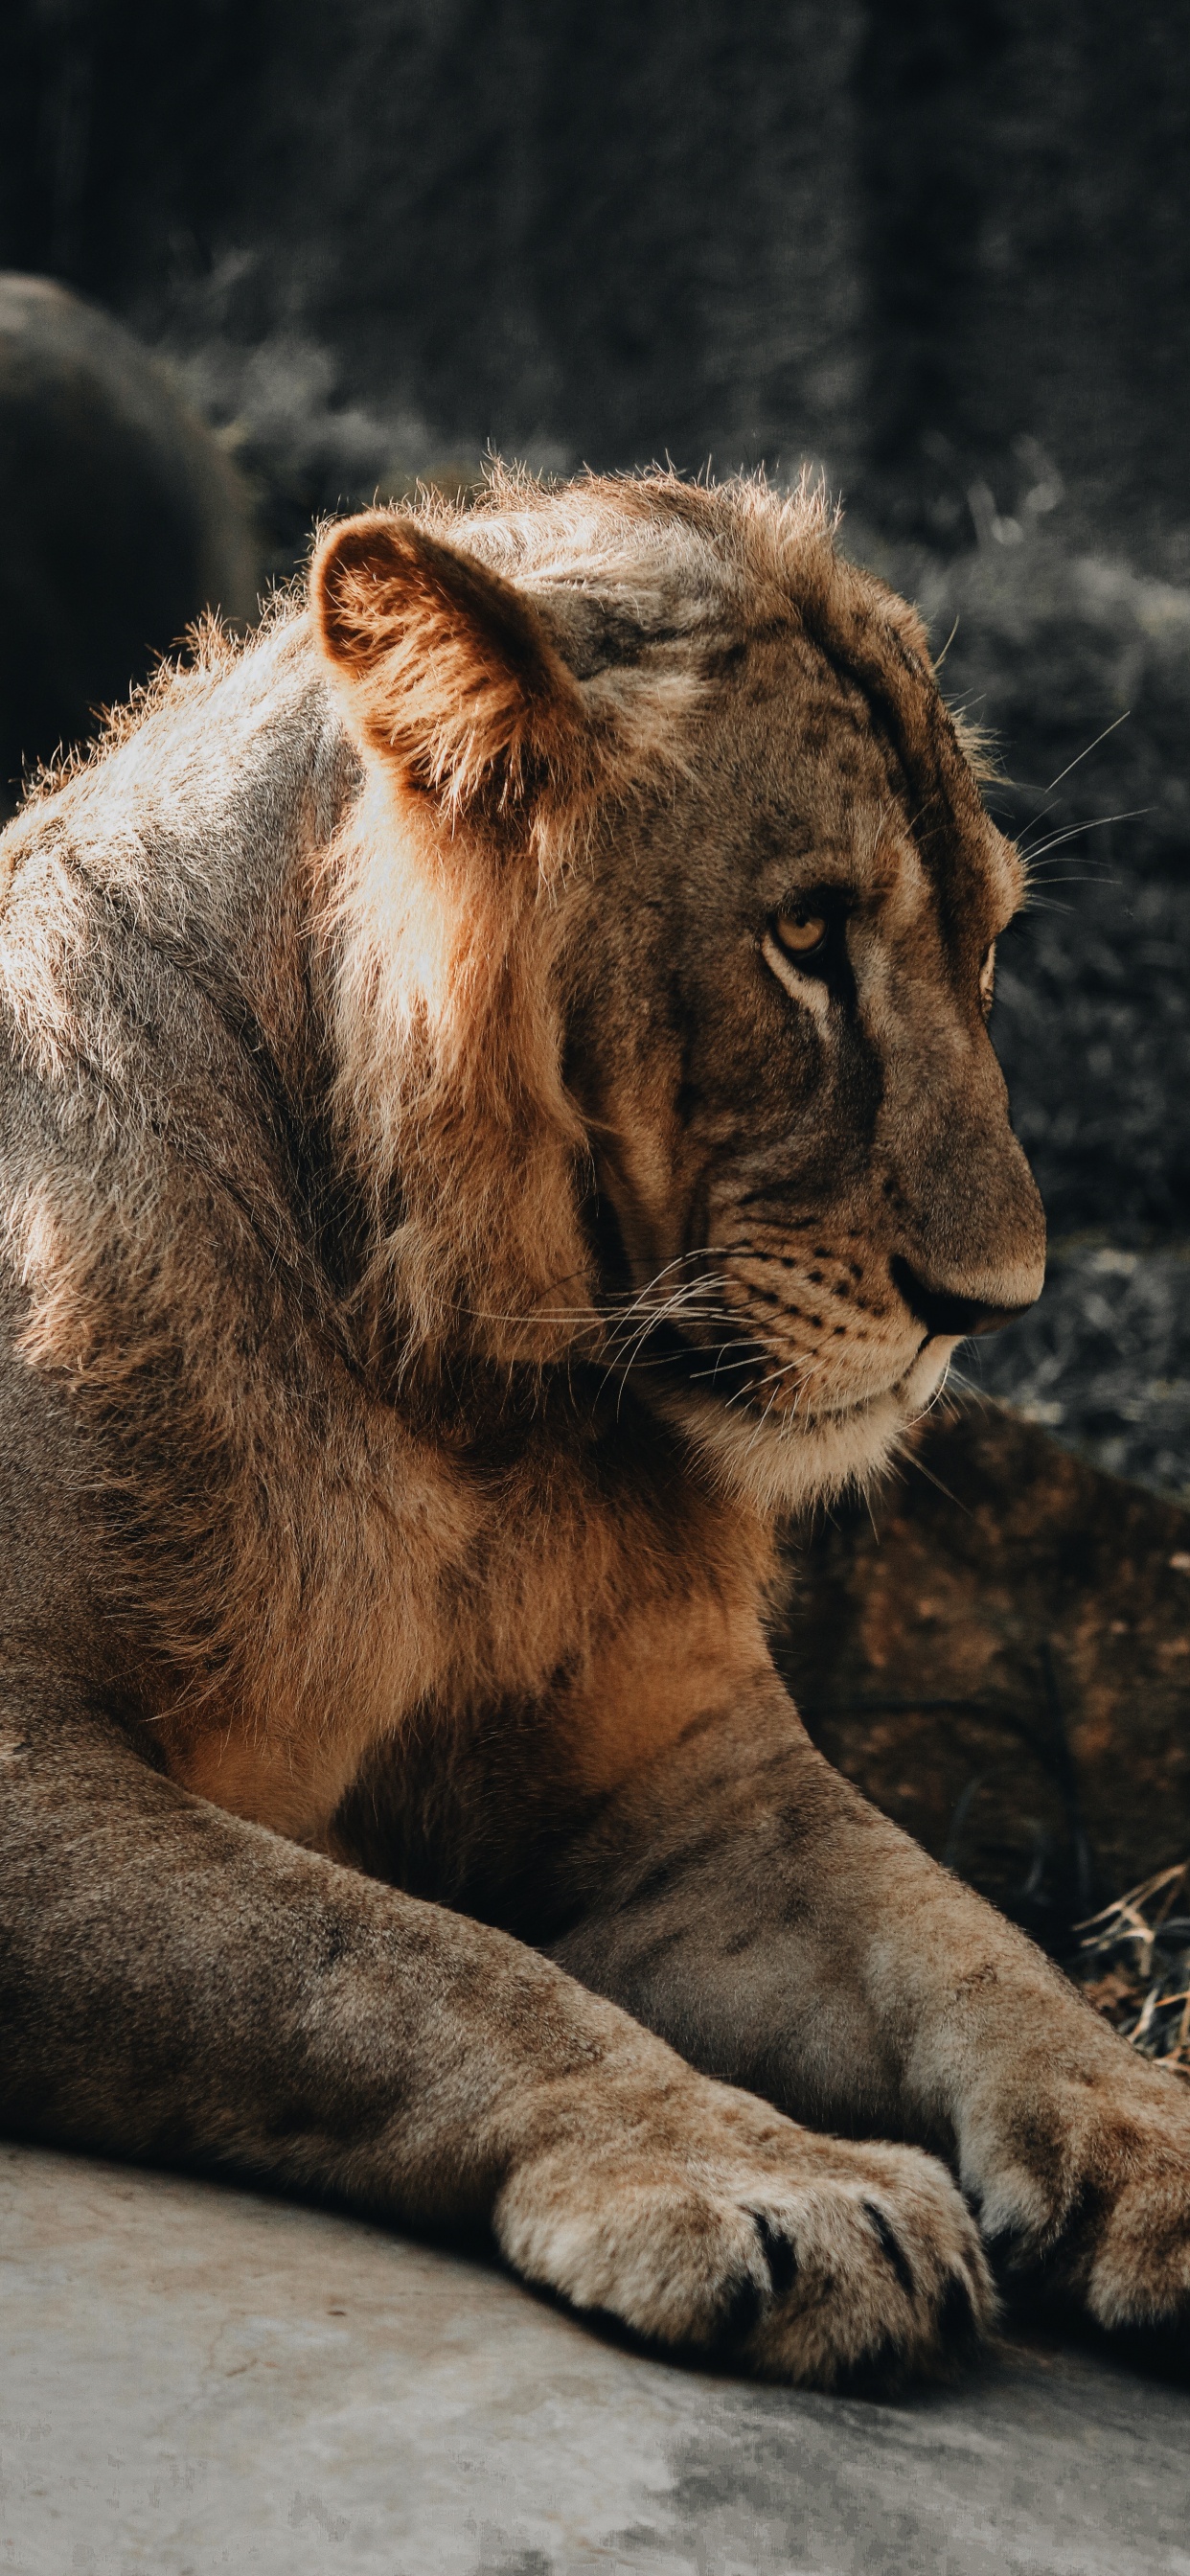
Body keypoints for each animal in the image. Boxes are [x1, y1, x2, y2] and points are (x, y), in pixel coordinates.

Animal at [1, 469, 1187, 2394]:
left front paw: (1152, 2135)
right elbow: (396, 1957)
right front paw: (765, 2180)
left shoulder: (689, 1783)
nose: (994, 1305)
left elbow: (970, 1937)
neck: (461, 1403)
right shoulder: (21, 1758)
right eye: (804, 937)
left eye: (988, 943)